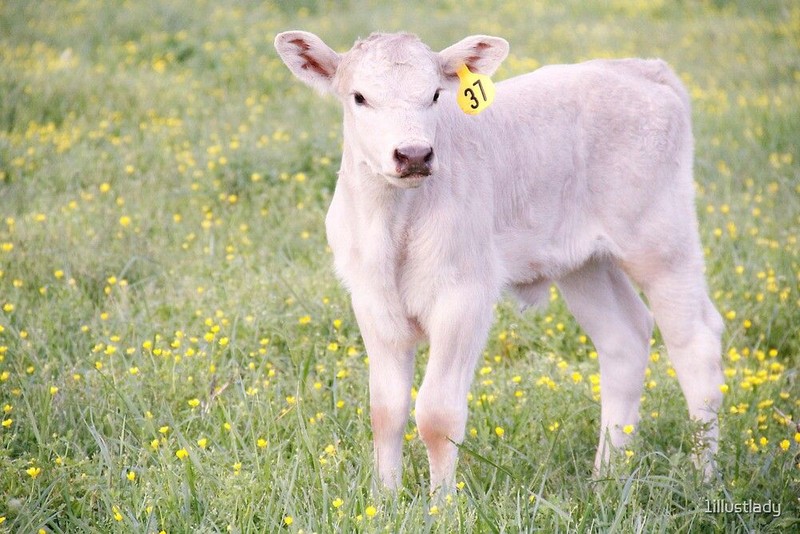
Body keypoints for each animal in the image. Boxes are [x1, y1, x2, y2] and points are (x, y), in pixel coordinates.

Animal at [276, 31, 724, 494]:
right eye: (360, 97)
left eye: (435, 94)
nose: (414, 154)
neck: (395, 226)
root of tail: (640, 68)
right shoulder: (371, 301)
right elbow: (386, 411)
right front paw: (384, 499)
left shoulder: (465, 296)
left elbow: (437, 414)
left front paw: (441, 505)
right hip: (585, 263)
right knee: (625, 338)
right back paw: (606, 478)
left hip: (662, 241)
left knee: (696, 344)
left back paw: (703, 477)